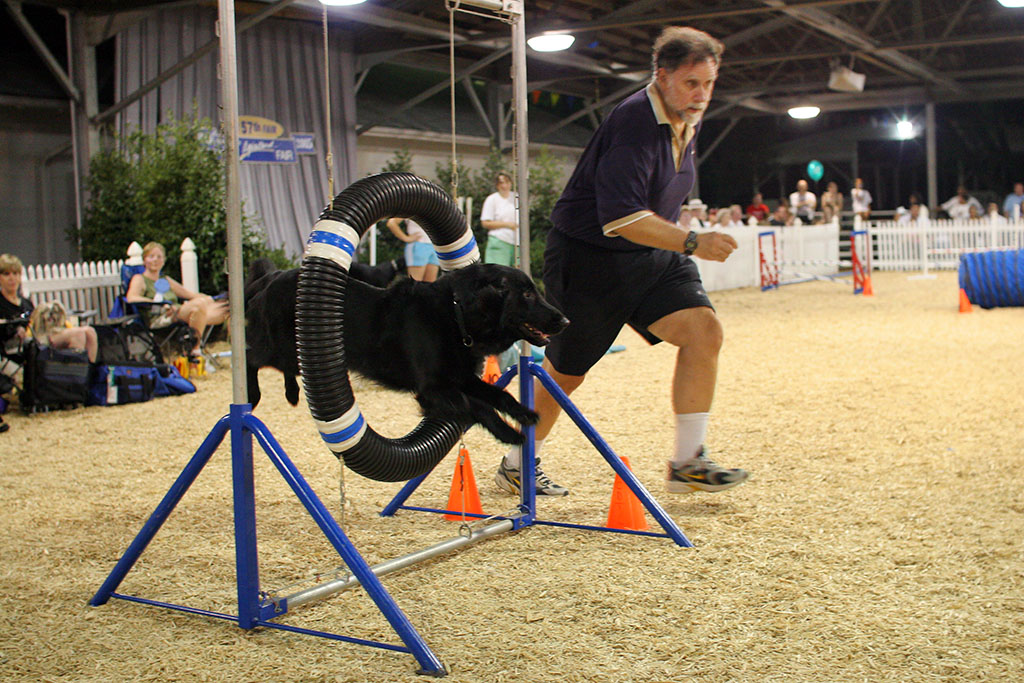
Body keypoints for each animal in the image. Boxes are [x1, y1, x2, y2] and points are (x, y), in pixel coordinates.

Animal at [244, 260, 573, 444]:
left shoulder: (461, 377)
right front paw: (509, 434)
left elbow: (498, 395)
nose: (566, 321)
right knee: (250, 356)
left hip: (298, 354)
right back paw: (254, 395)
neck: (456, 317)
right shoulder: (432, 389)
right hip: (280, 346)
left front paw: (524, 413)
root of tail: (271, 278)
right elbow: (477, 406)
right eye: (527, 294)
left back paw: (292, 394)